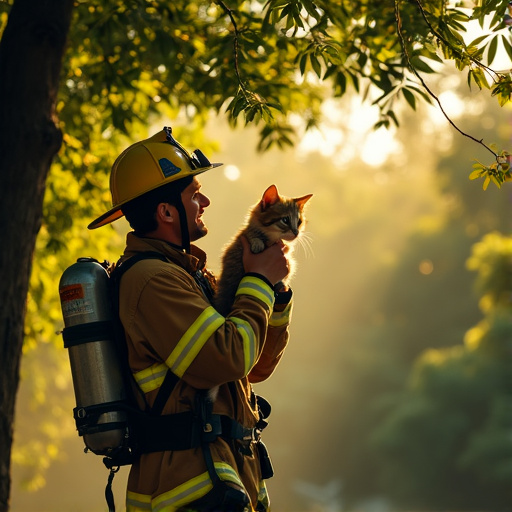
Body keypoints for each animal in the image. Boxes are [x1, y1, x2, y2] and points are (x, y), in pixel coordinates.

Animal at [212, 182, 312, 314]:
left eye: (299, 222)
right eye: (285, 220)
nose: (296, 233)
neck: (271, 239)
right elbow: (251, 234)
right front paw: (257, 242)